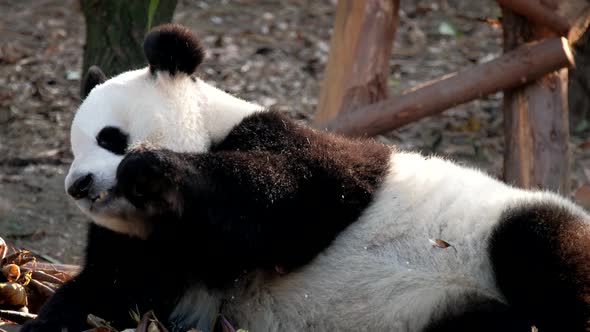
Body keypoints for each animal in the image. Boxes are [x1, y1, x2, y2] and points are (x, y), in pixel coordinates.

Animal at [23, 24, 590, 332]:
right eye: (72, 148)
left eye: (110, 138)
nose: (79, 186)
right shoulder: (145, 252)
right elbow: (113, 289)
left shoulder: (309, 154)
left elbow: (281, 205)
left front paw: (152, 170)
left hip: (497, 228)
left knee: (541, 249)